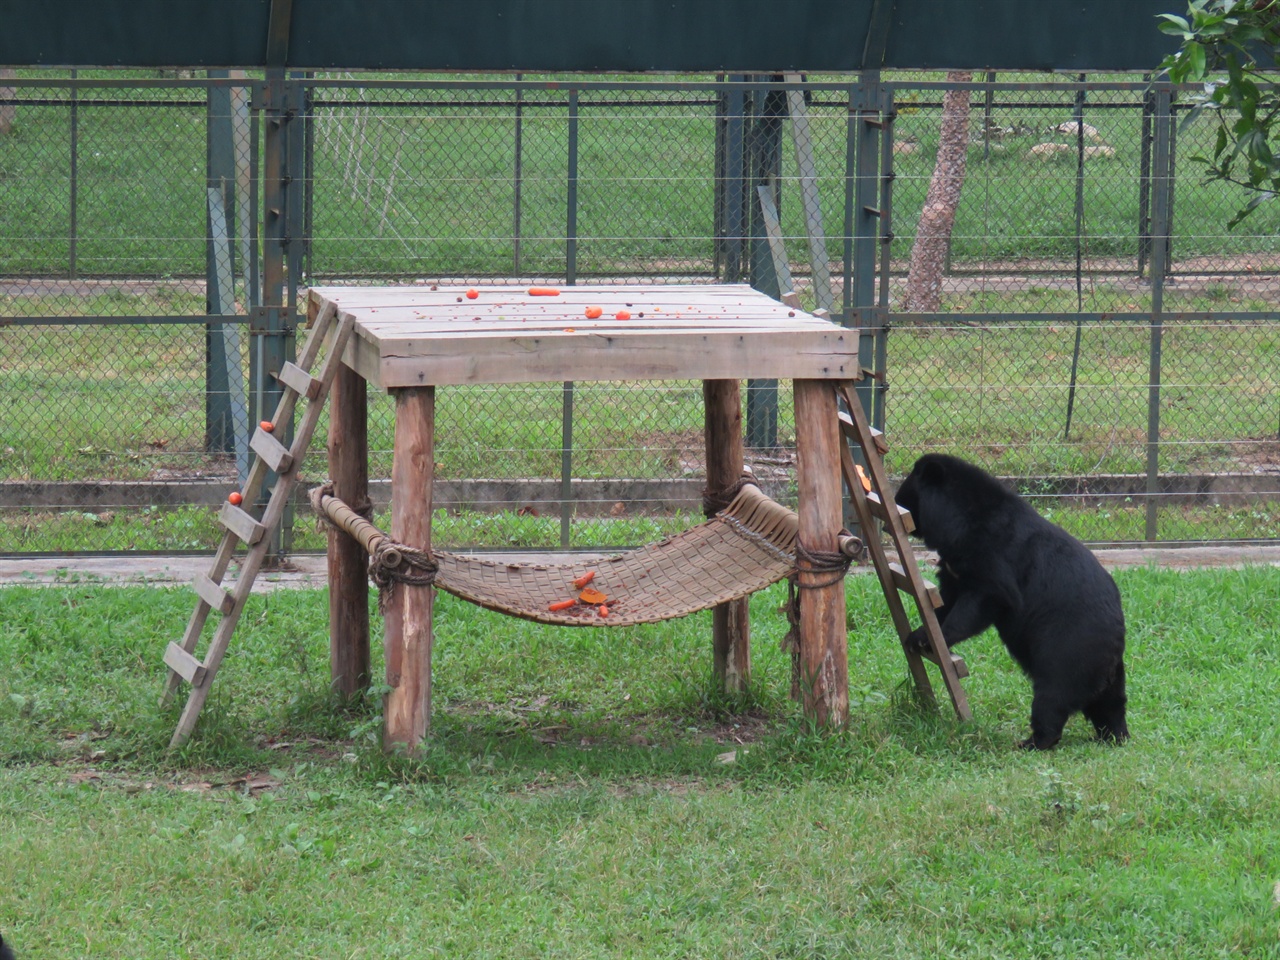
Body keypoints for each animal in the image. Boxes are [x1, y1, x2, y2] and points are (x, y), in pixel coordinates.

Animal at [896, 453, 1126, 752]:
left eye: (905, 494)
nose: (896, 502)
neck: (959, 522)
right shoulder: (954, 566)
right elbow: (944, 600)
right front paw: (918, 635)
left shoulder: (994, 557)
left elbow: (983, 600)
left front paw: (934, 638)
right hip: (1108, 670)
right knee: (1111, 704)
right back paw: (1114, 735)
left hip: (1067, 650)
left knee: (1052, 697)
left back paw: (1032, 742)